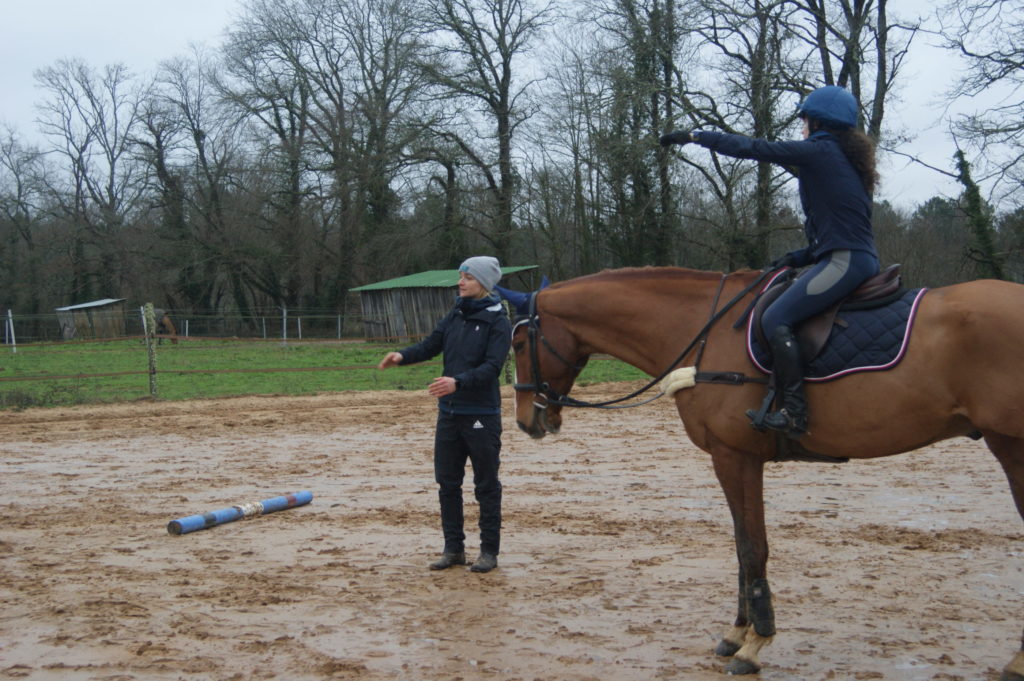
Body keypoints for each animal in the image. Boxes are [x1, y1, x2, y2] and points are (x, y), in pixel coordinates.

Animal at [501, 268, 1024, 675]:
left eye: (520, 341)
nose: (527, 420)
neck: (702, 331)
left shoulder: (734, 456)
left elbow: (753, 547)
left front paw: (753, 646)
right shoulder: (733, 458)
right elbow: (740, 546)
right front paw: (737, 633)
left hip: (1012, 446)